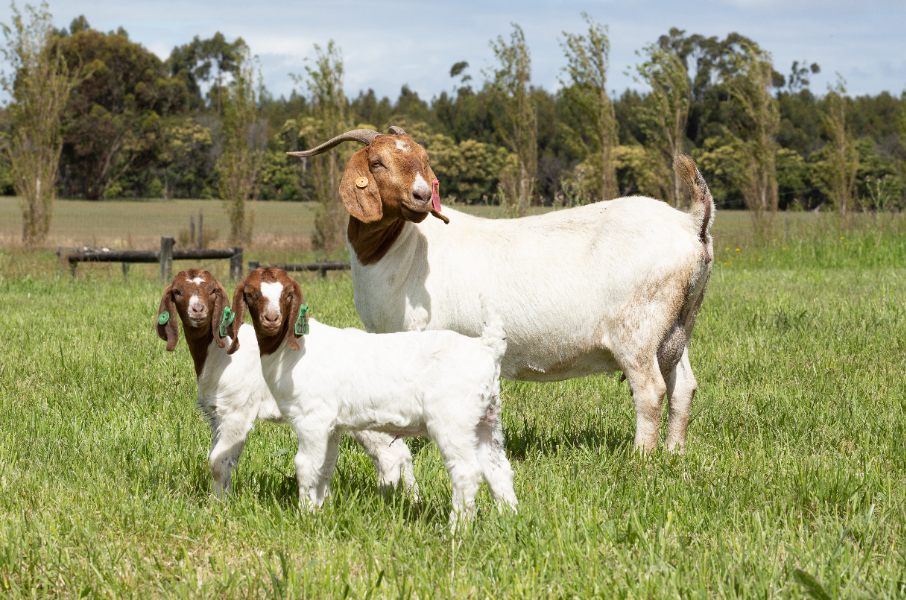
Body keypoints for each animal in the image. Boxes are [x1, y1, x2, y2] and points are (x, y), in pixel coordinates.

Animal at [156, 269, 417, 498]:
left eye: (212, 290)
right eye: (177, 291)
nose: (197, 310)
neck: (219, 354)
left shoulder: (237, 411)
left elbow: (218, 462)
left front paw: (220, 506)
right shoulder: (216, 415)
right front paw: (217, 500)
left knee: (390, 455)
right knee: (399, 453)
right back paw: (408, 498)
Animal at [228, 267, 517, 527]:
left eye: (288, 294)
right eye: (251, 294)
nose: (272, 318)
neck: (291, 351)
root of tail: (487, 347)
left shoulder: (312, 418)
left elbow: (306, 466)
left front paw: (305, 517)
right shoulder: (331, 425)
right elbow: (325, 467)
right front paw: (321, 512)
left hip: (452, 419)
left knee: (466, 472)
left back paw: (457, 530)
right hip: (486, 418)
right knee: (497, 468)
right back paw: (509, 519)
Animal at [289, 128, 715, 453]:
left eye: (424, 159)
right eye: (376, 162)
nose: (422, 196)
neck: (400, 249)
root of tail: (690, 223)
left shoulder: (417, 332)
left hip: (638, 328)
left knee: (651, 391)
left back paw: (641, 458)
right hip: (676, 327)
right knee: (683, 387)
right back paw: (674, 453)